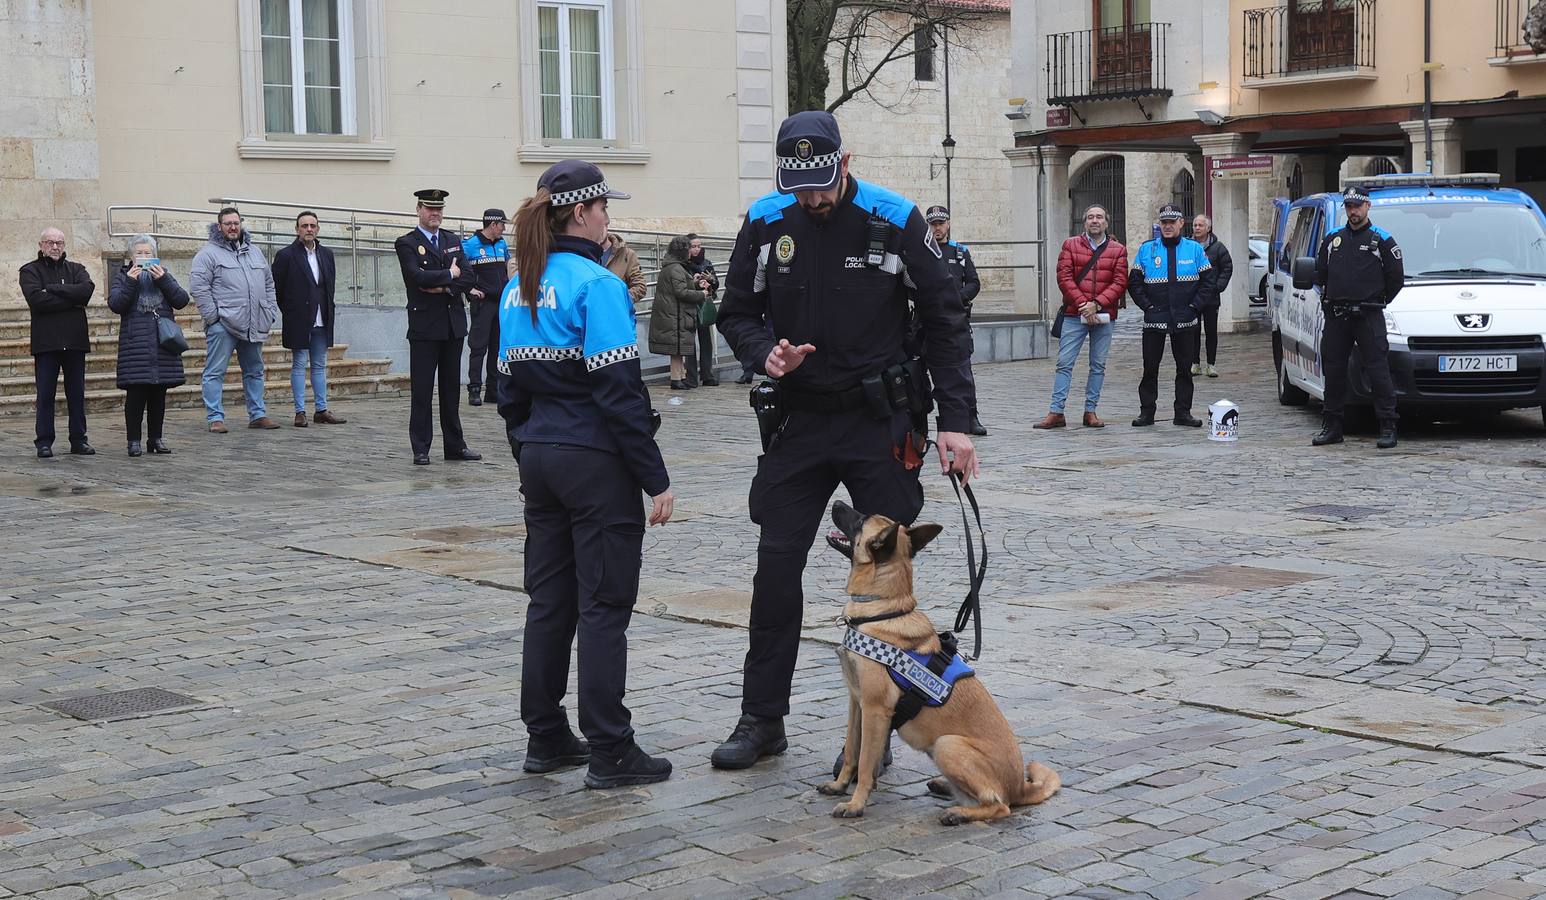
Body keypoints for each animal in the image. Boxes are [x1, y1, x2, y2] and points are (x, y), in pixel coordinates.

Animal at [822, 501, 1063, 822]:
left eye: (861, 520)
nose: (836, 502)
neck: (882, 609)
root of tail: (1021, 788)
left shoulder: (875, 710)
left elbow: (864, 763)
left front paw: (856, 803)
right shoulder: (856, 702)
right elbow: (851, 750)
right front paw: (839, 786)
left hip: (947, 744)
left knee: (1000, 805)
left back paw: (958, 813)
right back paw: (945, 788)